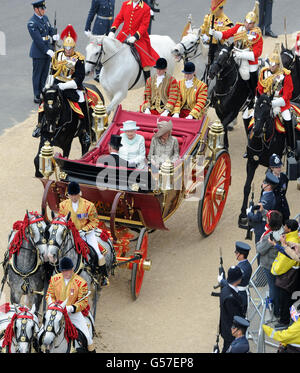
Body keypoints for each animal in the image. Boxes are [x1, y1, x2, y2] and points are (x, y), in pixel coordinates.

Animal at [238, 93, 298, 227]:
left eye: (267, 110)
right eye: (255, 108)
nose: (257, 130)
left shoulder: (272, 166)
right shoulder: (251, 162)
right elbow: (246, 187)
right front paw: (243, 214)